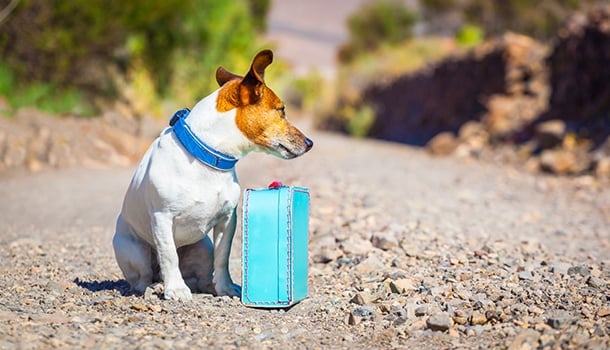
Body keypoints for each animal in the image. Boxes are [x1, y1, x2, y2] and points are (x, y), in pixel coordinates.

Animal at [111, 50, 312, 302]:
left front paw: (225, 288)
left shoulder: (227, 220)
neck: (207, 156)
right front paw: (176, 289)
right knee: (145, 276)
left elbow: (222, 256)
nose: (310, 143)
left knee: (202, 274)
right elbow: (169, 255)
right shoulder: (162, 217)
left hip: (202, 248)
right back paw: (154, 287)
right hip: (134, 251)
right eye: (281, 110)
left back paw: (206, 286)